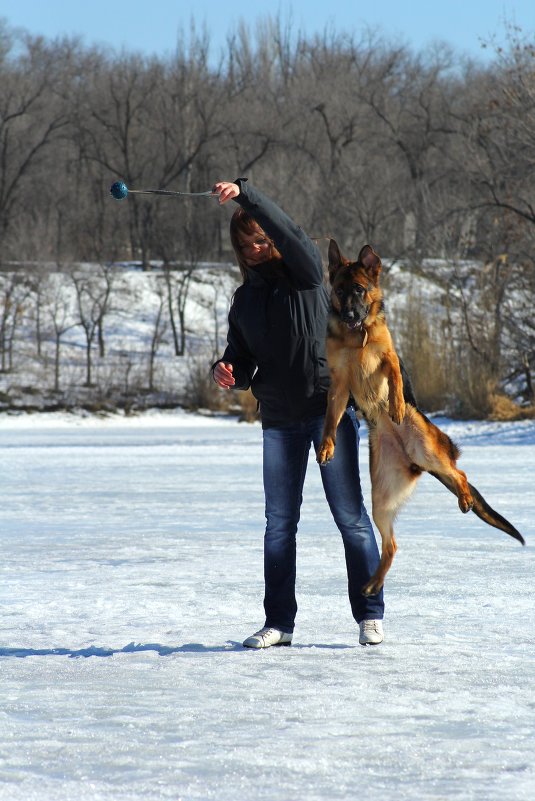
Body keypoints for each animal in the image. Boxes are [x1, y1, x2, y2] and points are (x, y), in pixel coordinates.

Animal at [316, 238, 524, 592]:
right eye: (340, 290)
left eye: (359, 290)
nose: (350, 314)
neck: (357, 338)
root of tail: (414, 461)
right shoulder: (339, 385)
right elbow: (331, 419)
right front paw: (327, 446)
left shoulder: (389, 357)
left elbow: (396, 380)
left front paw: (397, 405)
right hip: (382, 498)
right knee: (392, 545)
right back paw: (373, 583)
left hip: (430, 450)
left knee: (461, 474)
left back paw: (465, 498)